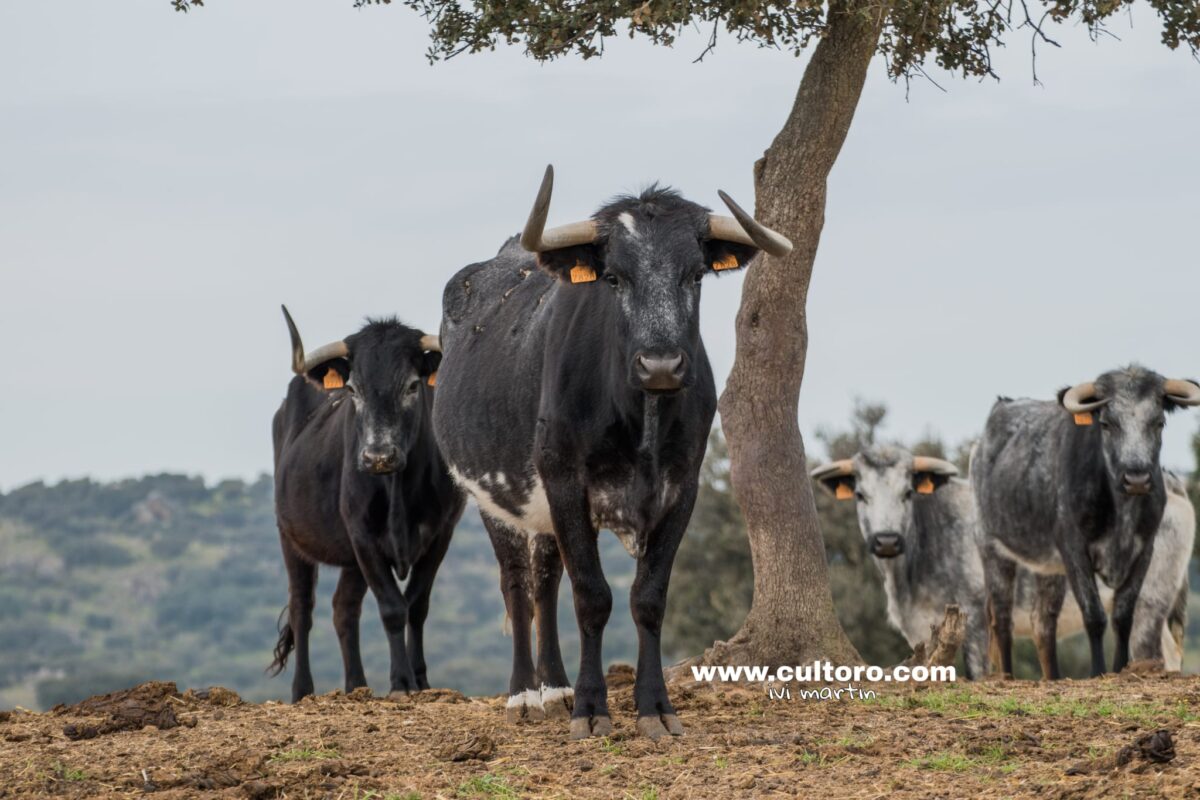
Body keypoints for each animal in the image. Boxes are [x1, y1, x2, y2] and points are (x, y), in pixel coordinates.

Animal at [272, 307, 463, 700]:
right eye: (352, 390)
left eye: (412, 385)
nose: (378, 456)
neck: (398, 489)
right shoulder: (363, 537)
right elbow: (392, 608)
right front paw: (401, 682)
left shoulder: (441, 534)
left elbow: (416, 605)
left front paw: (420, 680)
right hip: (291, 538)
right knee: (302, 609)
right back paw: (303, 691)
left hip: (350, 561)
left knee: (343, 609)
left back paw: (356, 687)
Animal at [436, 165, 792, 743]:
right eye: (614, 279)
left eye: (696, 275)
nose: (662, 365)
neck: (641, 415)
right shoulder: (564, 479)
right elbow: (592, 596)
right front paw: (591, 708)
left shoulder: (682, 488)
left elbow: (647, 598)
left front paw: (654, 708)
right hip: (492, 496)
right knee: (517, 584)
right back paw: (524, 696)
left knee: (545, 582)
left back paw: (554, 689)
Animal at [974, 367, 1200, 681]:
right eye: (1106, 423)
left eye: (1159, 422)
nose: (1137, 478)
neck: (1122, 508)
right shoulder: (1075, 550)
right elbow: (1094, 615)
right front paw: (1097, 671)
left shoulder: (1144, 551)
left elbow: (1123, 616)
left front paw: (1120, 669)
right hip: (992, 547)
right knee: (1001, 616)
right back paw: (1006, 676)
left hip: (1049, 567)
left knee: (1043, 621)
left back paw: (1053, 677)